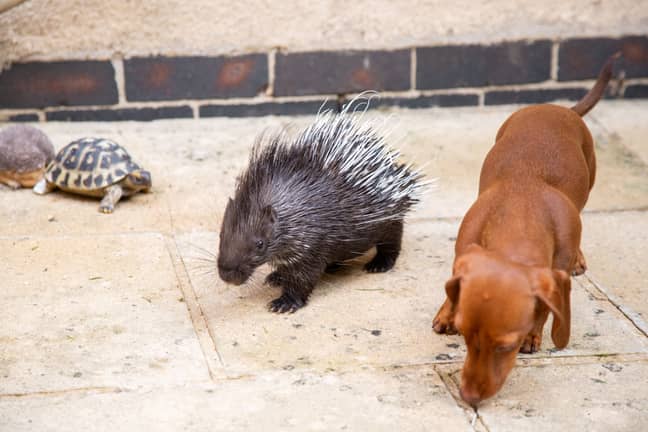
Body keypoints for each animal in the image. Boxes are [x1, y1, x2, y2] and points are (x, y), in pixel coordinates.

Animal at [430, 53, 616, 404]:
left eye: (507, 346)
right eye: (464, 335)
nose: (468, 396)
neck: (521, 211)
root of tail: (563, 109)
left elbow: (544, 310)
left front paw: (533, 334)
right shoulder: (463, 253)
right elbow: (454, 287)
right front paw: (446, 314)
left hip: (589, 182)